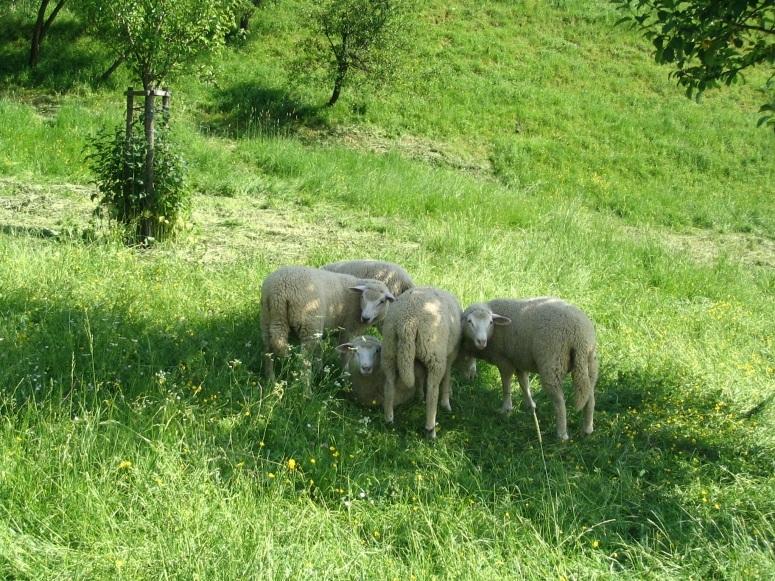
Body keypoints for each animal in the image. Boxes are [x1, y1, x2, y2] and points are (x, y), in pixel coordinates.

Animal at [262, 266, 398, 392]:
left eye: (382, 301)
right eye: (363, 296)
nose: (365, 318)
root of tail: (280, 290)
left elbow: (320, 351)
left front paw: (320, 370)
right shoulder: (348, 330)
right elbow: (346, 354)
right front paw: (345, 376)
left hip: (269, 319)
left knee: (268, 351)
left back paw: (270, 380)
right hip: (309, 324)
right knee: (304, 361)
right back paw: (306, 391)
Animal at [380, 284, 460, 438]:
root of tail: (408, 321)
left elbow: (420, 375)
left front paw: (418, 395)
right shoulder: (450, 354)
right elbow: (447, 376)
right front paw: (446, 402)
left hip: (389, 350)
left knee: (389, 384)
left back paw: (389, 418)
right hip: (434, 353)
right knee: (432, 390)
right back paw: (430, 429)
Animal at [460, 296, 600, 438]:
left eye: (490, 322)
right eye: (469, 321)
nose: (481, 341)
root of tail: (579, 335)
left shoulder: (504, 360)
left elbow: (506, 384)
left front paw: (506, 408)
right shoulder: (519, 360)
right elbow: (524, 383)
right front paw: (530, 405)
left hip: (552, 363)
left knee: (560, 402)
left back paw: (561, 434)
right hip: (589, 364)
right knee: (589, 397)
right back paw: (588, 429)